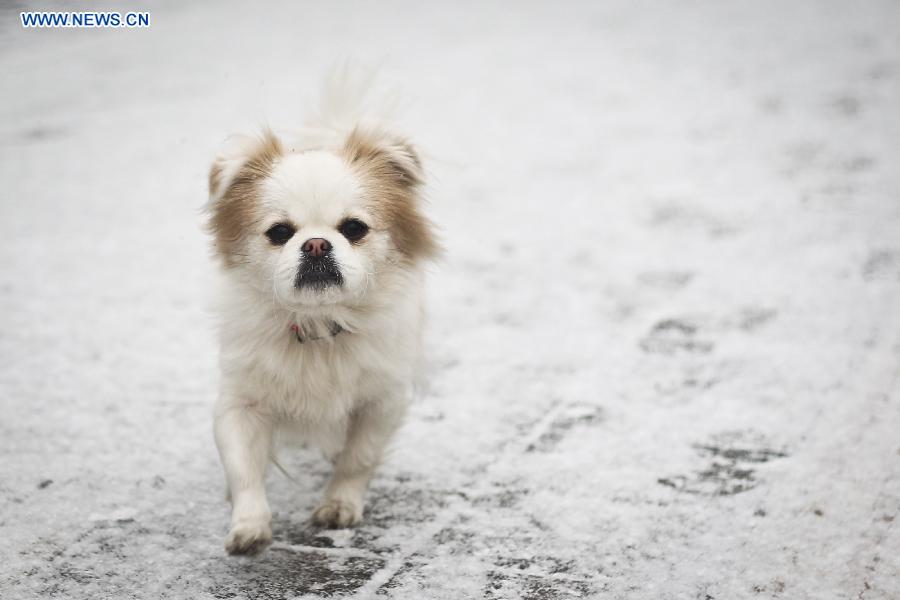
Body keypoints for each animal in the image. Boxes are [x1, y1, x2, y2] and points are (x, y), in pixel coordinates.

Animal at [207, 74, 440, 552]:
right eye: (279, 233)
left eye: (354, 228)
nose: (316, 244)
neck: (319, 326)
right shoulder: (241, 401)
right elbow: (243, 467)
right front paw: (249, 525)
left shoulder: (382, 399)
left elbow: (359, 457)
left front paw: (339, 505)